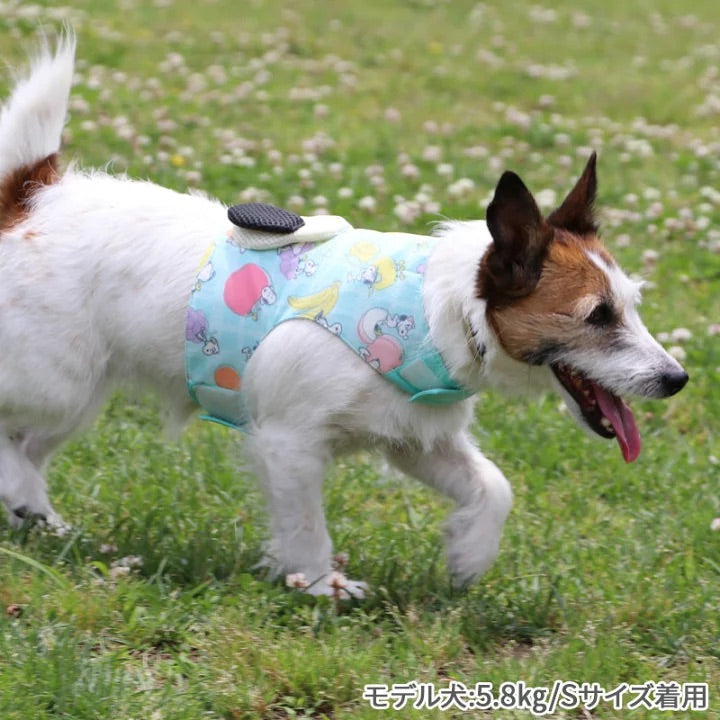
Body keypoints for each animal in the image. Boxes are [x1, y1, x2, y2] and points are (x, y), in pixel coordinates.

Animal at [0, 35, 688, 596]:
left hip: (77, 397)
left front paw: (468, 555)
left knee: (26, 447)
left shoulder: (417, 439)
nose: (677, 379)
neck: (431, 314)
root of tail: (33, 196)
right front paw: (318, 585)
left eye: (632, 305)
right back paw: (26, 496)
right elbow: (307, 527)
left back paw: (36, 513)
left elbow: (493, 486)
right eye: (597, 316)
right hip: (58, 385)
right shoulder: (289, 442)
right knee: (10, 437)